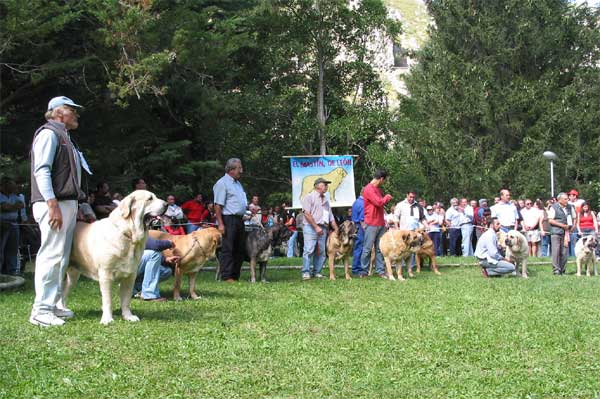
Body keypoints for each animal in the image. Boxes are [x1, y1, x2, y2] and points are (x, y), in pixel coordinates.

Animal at [56, 191, 166, 324]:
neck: (128, 235)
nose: (166, 204)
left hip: (73, 276)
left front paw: (128, 316)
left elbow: (126, 300)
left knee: (64, 292)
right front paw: (107, 319)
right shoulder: (106, 275)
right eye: (150, 199)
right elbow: (108, 300)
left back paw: (64, 310)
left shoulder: (130, 276)